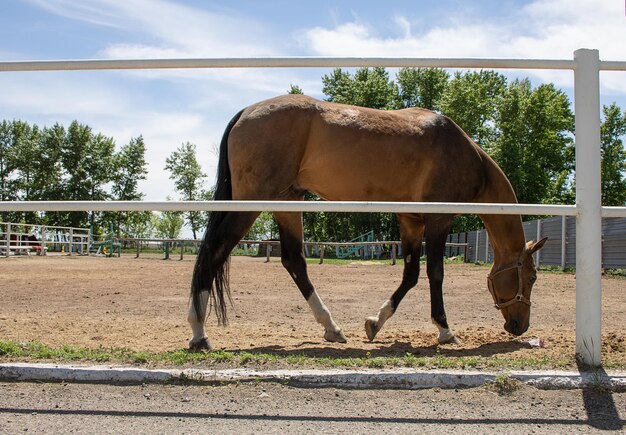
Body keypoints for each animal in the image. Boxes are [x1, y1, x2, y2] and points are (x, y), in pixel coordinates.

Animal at [186, 94, 544, 350]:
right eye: (531, 277)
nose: (519, 326)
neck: (467, 155)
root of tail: (246, 112)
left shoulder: (411, 221)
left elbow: (411, 275)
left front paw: (375, 323)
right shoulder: (439, 220)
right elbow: (435, 274)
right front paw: (445, 331)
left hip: (286, 202)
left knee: (294, 261)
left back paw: (332, 328)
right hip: (251, 205)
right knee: (214, 253)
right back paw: (199, 333)